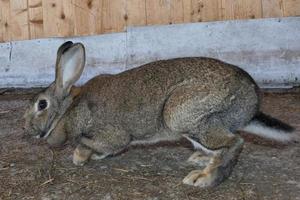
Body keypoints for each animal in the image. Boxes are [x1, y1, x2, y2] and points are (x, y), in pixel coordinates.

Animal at [23, 40, 296, 188]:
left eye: (41, 105)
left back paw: (204, 178)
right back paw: (200, 160)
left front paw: (80, 157)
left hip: (179, 114)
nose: (25, 128)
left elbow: (100, 144)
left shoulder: (113, 135)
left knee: (234, 143)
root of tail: (252, 100)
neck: (68, 108)